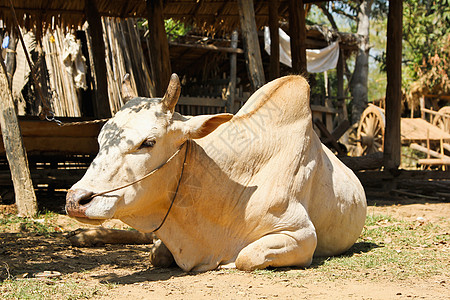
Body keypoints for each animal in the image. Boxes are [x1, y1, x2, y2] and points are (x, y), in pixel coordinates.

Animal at [67, 75, 370, 272]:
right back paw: (84, 236)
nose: (75, 200)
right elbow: (156, 253)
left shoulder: (302, 235)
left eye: (148, 142)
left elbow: (246, 257)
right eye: (101, 139)